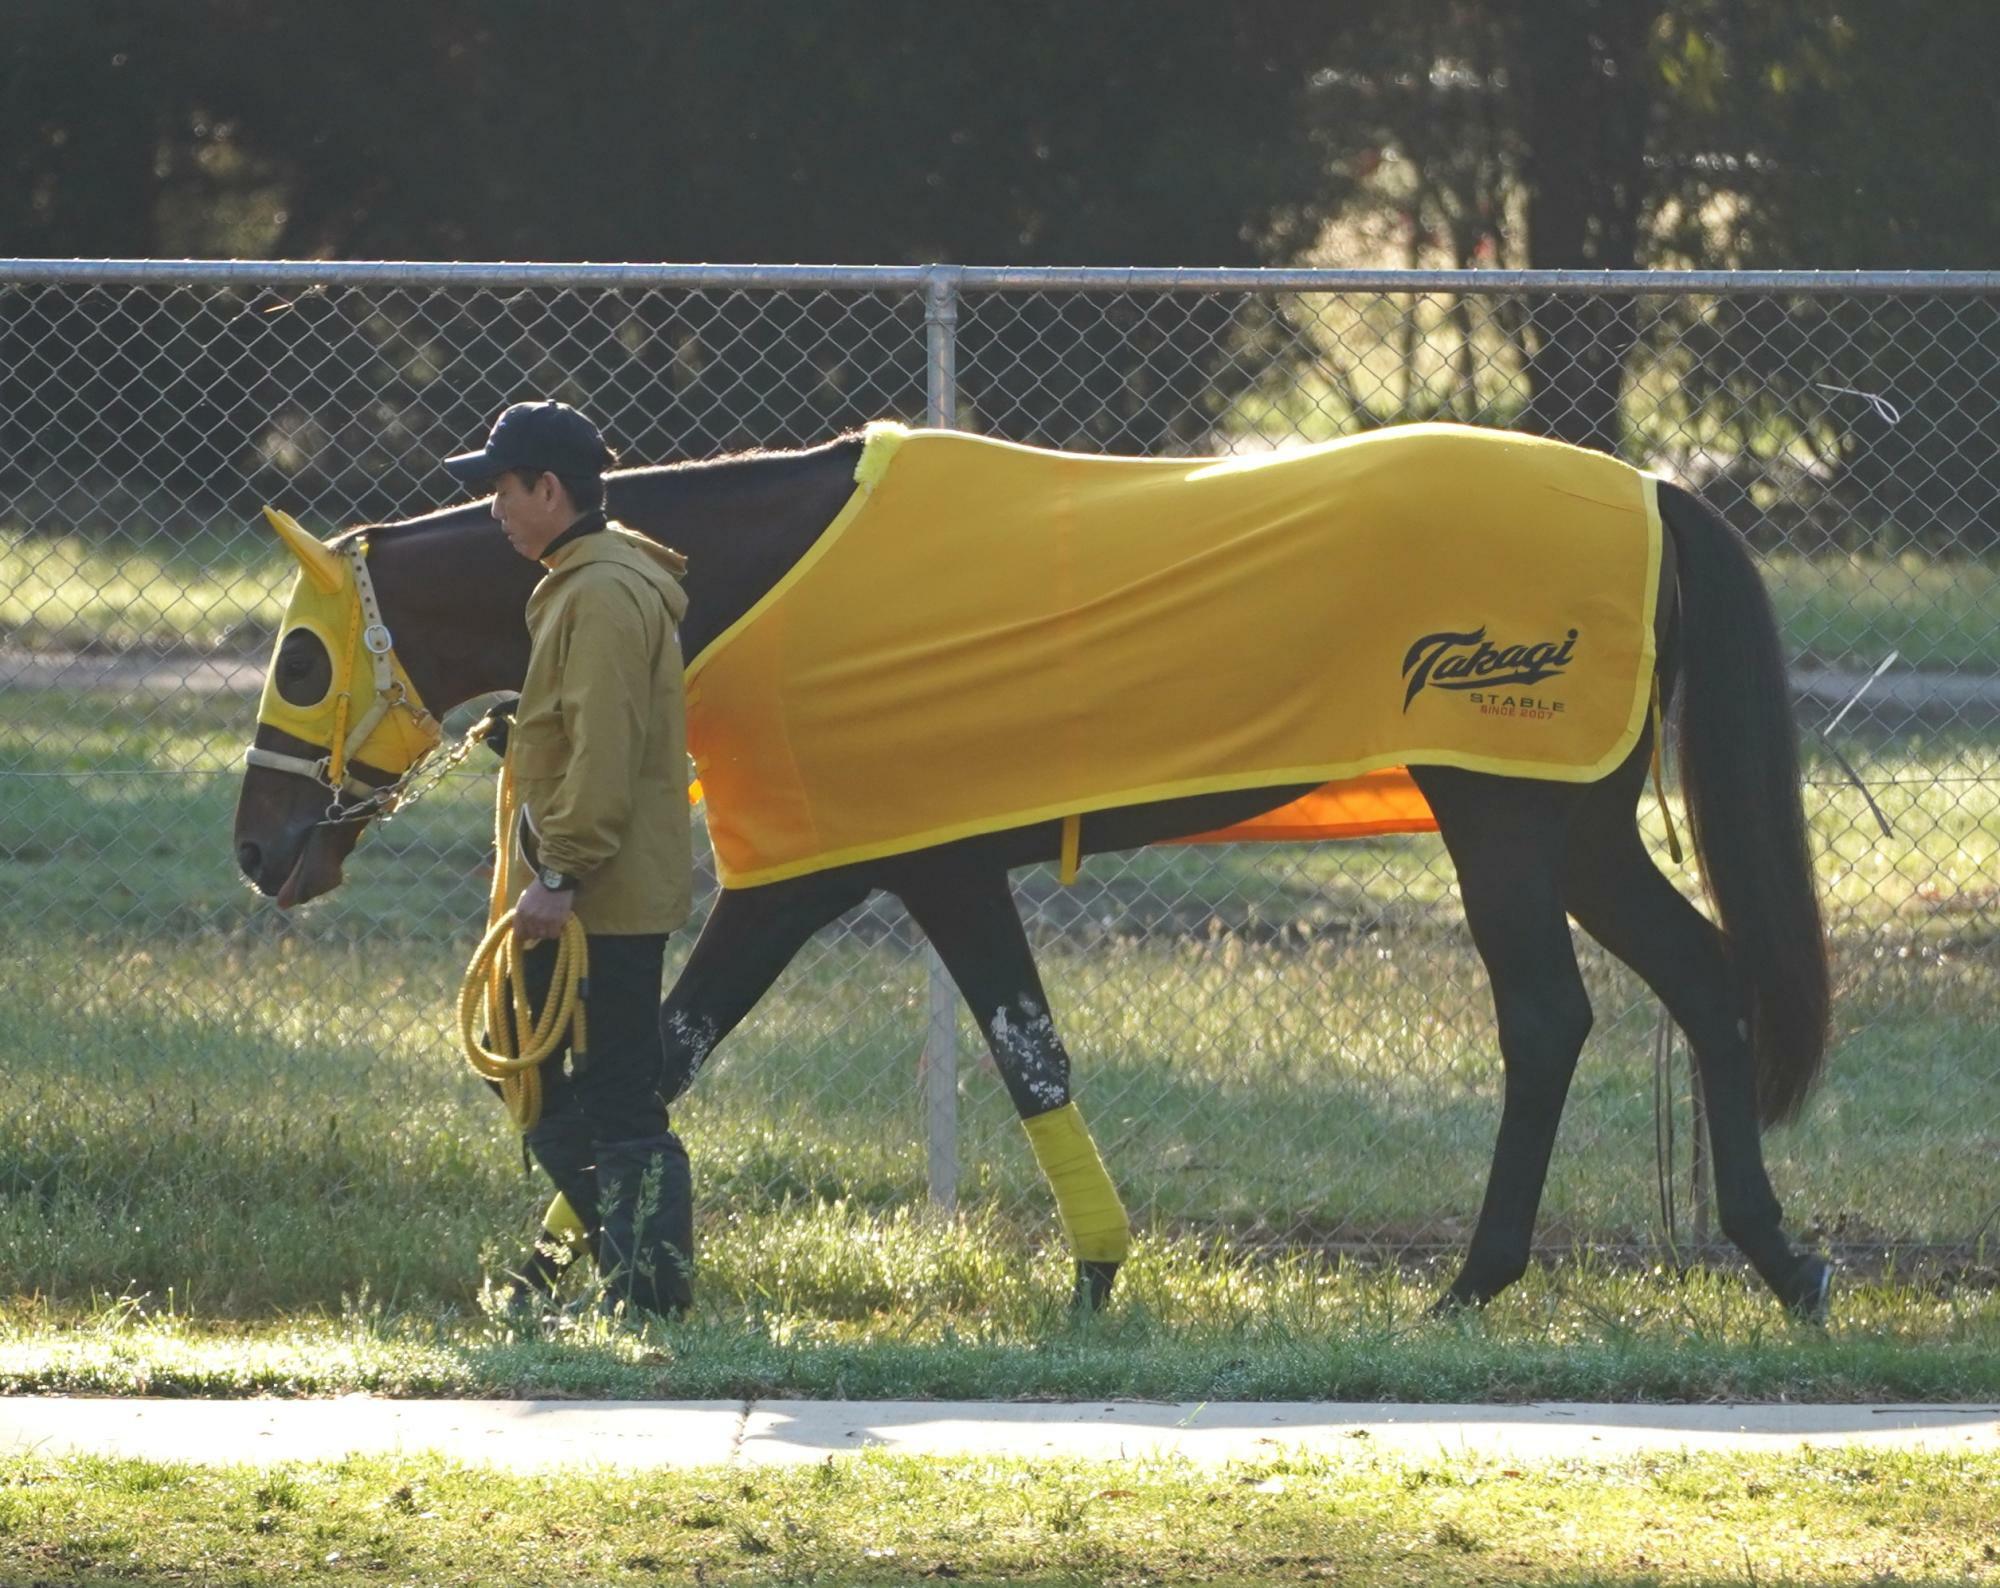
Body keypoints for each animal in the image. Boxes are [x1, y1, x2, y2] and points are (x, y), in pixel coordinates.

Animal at [227, 426, 1832, 1320]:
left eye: (301, 658)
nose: (259, 848)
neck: (746, 576)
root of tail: (1652, 489)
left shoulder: (838, 878)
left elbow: (691, 1057)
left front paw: (551, 1264)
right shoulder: (911, 876)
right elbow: (1009, 1052)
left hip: (1506, 821)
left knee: (1549, 1019)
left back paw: (1478, 1281)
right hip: (1574, 827)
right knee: (1700, 979)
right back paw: (1778, 1260)